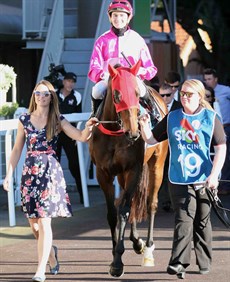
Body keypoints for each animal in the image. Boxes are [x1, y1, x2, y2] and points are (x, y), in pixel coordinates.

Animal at [88, 60, 167, 278]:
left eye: (137, 93)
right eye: (117, 95)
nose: (133, 132)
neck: (116, 133)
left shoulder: (134, 169)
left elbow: (123, 210)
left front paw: (118, 262)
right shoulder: (103, 174)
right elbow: (113, 213)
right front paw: (115, 252)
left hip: (157, 164)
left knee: (151, 203)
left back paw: (147, 247)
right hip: (122, 175)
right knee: (131, 201)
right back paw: (137, 241)